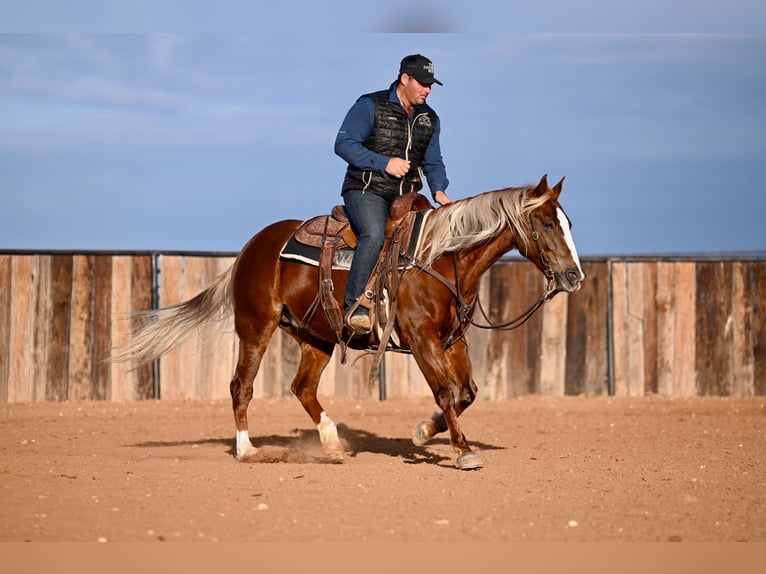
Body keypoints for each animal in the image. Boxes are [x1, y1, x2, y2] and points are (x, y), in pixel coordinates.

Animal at [115, 176, 584, 472]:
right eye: (546, 222)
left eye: (568, 222)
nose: (574, 276)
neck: (439, 257)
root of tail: (251, 247)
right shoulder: (421, 339)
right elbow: (447, 393)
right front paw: (464, 451)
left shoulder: (454, 341)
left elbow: (465, 393)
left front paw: (422, 432)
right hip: (255, 327)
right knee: (240, 387)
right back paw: (248, 450)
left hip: (317, 336)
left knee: (302, 388)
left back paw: (332, 442)